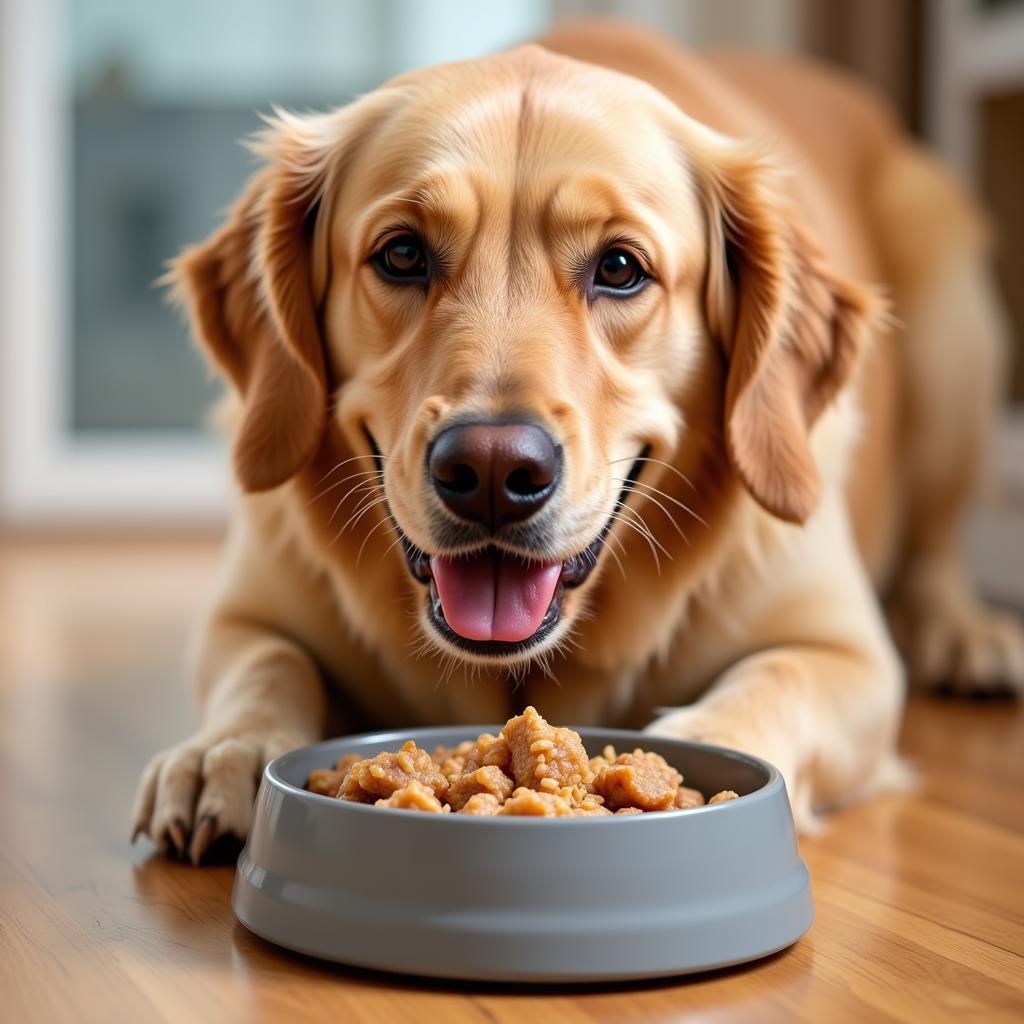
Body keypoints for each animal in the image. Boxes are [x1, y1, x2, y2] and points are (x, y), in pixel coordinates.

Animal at [132, 22, 1019, 864]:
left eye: (620, 268)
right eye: (402, 253)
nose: (493, 471)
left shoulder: (849, 653)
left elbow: (777, 676)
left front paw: (696, 753)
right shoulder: (246, 612)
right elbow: (266, 665)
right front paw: (223, 752)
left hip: (954, 325)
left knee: (938, 545)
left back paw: (967, 635)